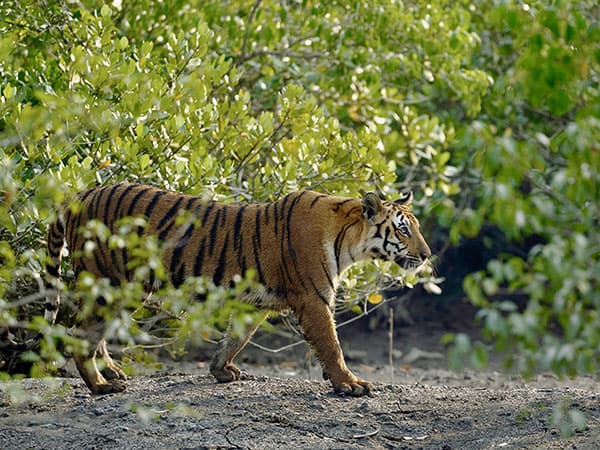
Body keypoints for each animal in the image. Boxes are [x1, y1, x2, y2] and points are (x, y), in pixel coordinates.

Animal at [47, 183, 432, 398]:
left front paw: (220, 370)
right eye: (402, 230)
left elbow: (236, 338)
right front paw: (350, 384)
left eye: (415, 227)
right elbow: (332, 347)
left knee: (93, 333)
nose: (428, 255)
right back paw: (101, 386)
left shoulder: (255, 305)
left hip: (122, 289)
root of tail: (81, 194)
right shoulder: (314, 299)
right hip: (110, 281)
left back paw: (112, 372)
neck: (349, 239)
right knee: (79, 335)